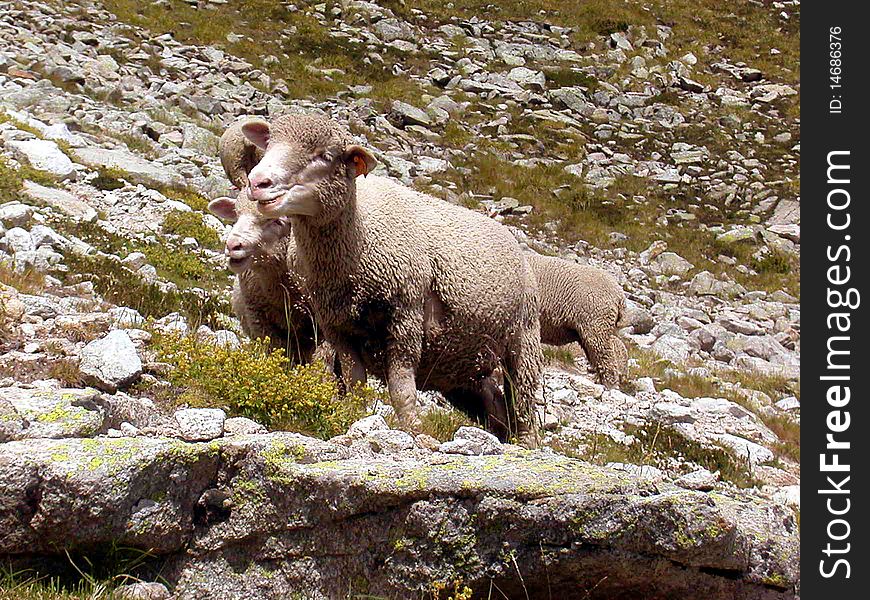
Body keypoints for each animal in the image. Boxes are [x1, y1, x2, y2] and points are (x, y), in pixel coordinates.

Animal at [240, 113, 544, 440]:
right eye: (269, 143)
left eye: (325, 155)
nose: (258, 182)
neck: (358, 244)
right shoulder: (337, 327)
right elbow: (355, 381)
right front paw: (355, 416)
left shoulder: (405, 318)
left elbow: (401, 387)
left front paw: (412, 429)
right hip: (463, 362)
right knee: (495, 404)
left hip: (524, 338)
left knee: (523, 400)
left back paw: (526, 442)